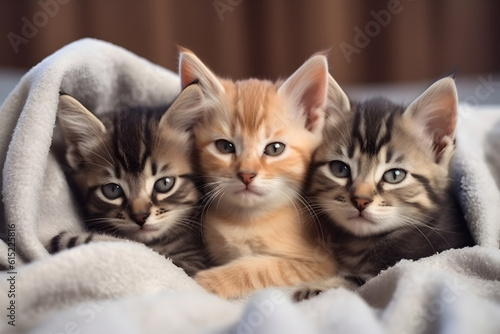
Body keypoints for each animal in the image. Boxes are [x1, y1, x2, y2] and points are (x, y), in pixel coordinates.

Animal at [178, 49, 338, 298]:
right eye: (225, 147)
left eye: (275, 149)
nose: (246, 175)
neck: (247, 221)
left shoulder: (320, 262)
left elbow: (262, 267)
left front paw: (206, 281)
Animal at [294, 76, 474, 300]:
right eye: (339, 169)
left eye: (395, 175)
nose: (360, 200)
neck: (363, 243)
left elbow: (359, 280)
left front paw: (317, 287)